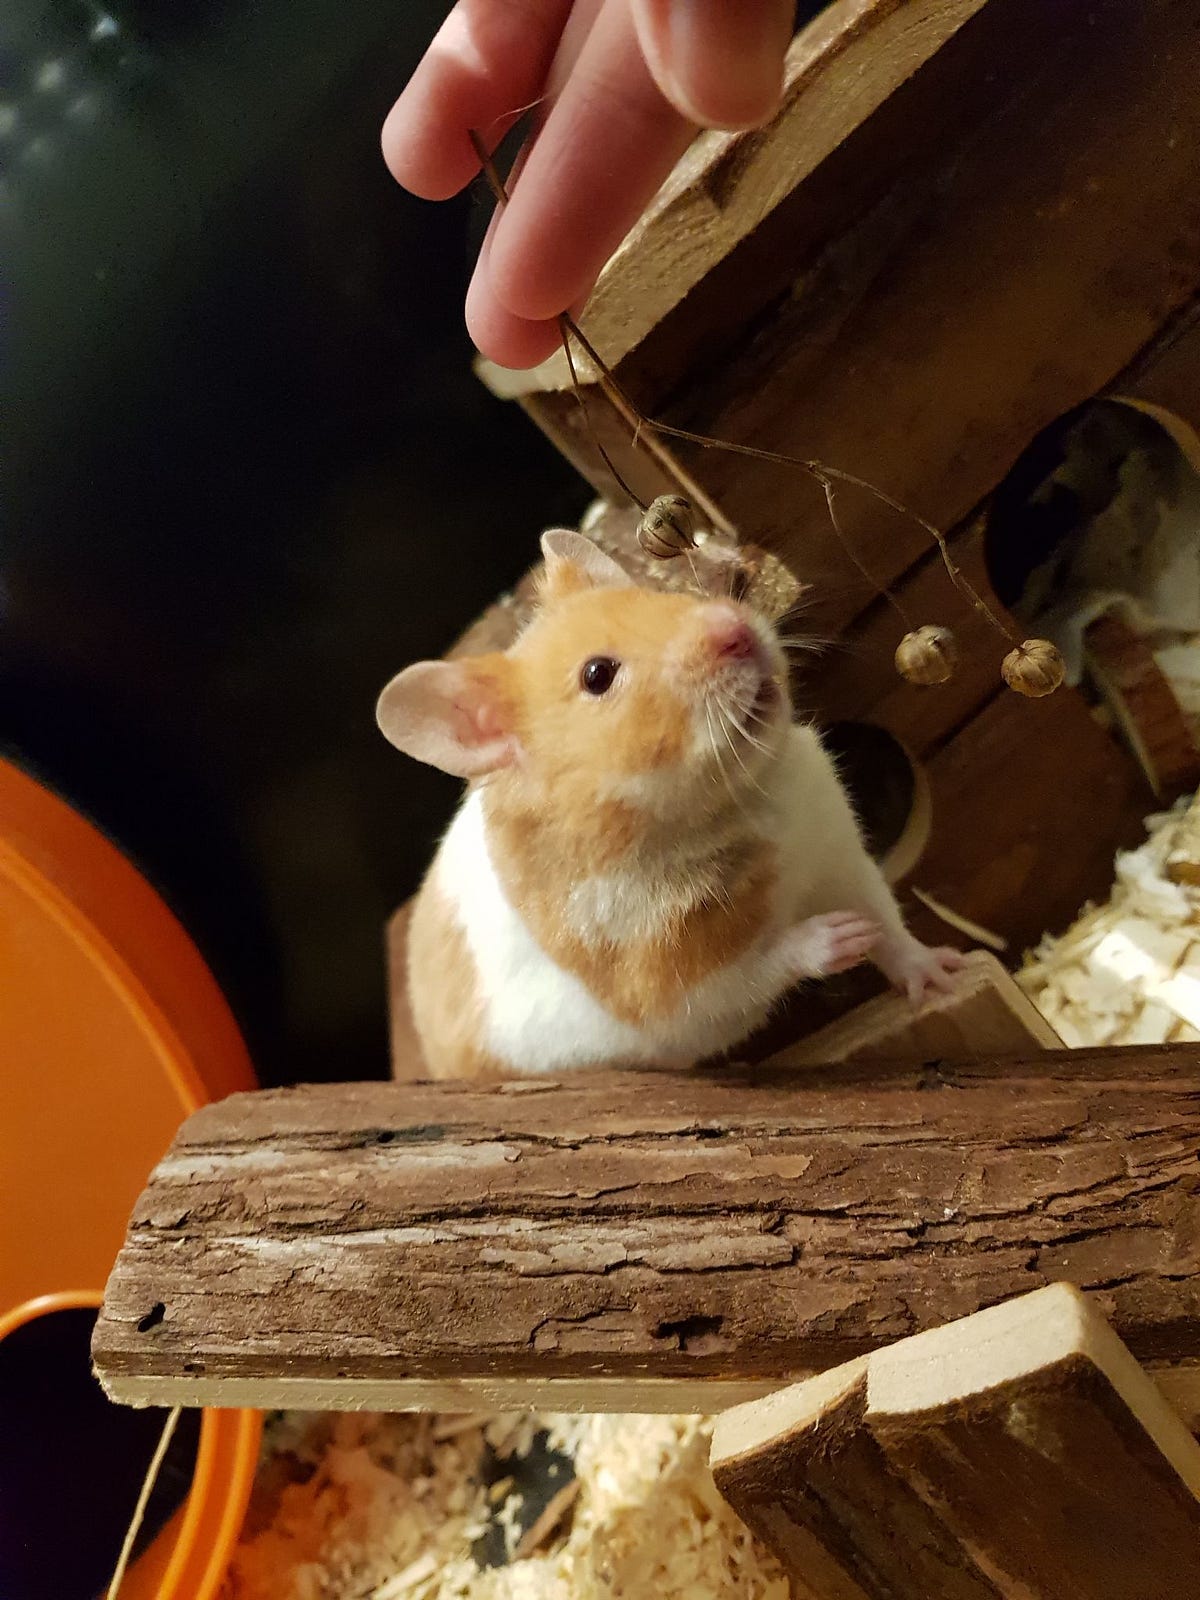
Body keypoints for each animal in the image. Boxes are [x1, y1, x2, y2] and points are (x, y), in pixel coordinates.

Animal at [377, 529, 964, 1079]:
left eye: (659, 597)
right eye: (597, 675)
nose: (737, 629)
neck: (739, 801)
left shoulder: (841, 853)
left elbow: (890, 924)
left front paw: (944, 974)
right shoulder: (669, 988)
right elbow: (760, 966)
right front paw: (843, 936)